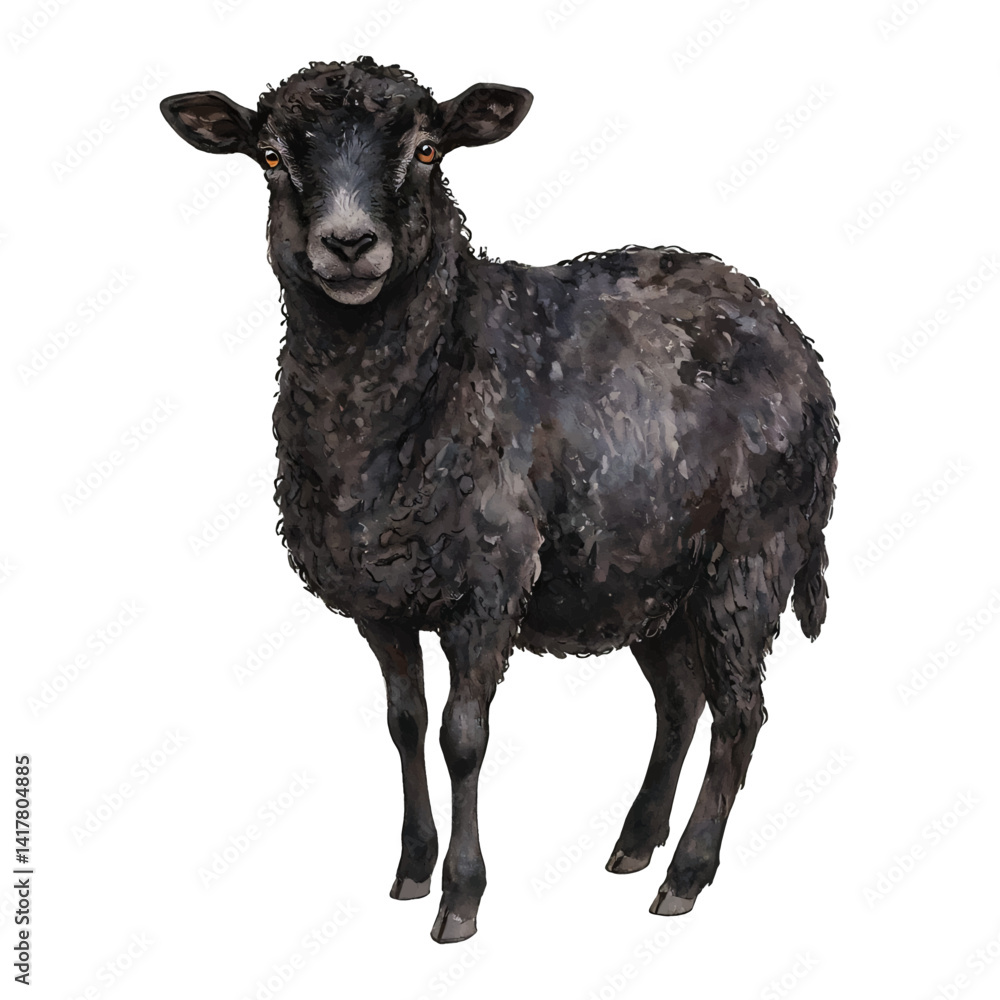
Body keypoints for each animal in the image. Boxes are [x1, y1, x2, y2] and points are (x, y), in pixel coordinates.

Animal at [161, 56, 838, 944]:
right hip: (650, 574)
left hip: (751, 556)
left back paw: (685, 875)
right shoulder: (381, 601)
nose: (349, 244)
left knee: (739, 713)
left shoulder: (489, 586)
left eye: (426, 150)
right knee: (680, 699)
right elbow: (405, 725)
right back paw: (636, 843)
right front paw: (412, 870)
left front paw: (461, 897)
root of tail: (788, 330)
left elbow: (463, 738)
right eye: (270, 158)